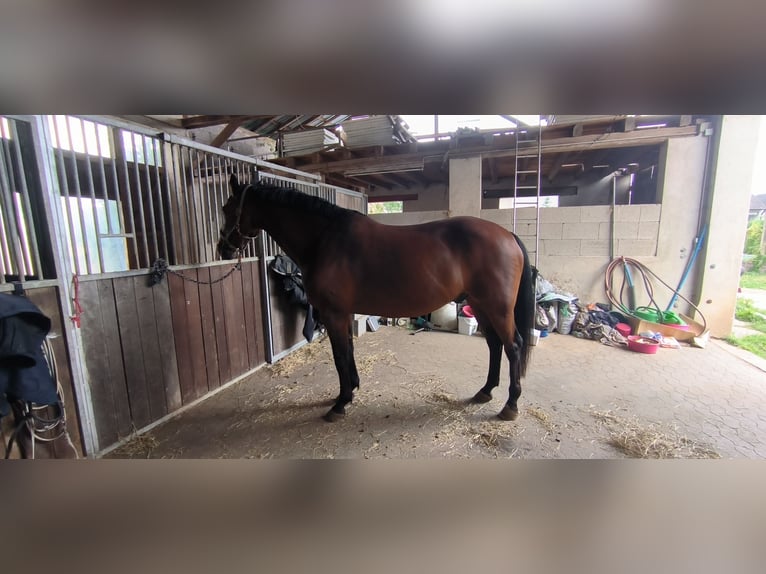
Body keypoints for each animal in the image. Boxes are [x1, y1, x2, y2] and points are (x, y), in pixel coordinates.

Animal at [218, 175, 536, 423]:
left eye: (227, 208)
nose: (223, 249)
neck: (324, 239)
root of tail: (507, 234)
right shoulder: (343, 313)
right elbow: (348, 351)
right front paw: (351, 390)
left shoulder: (333, 313)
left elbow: (339, 356)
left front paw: (340, 403)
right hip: (481, 305)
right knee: (495, 345)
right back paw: (485, 391)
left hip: (497, 308)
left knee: (513, 346)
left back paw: (510, 405)